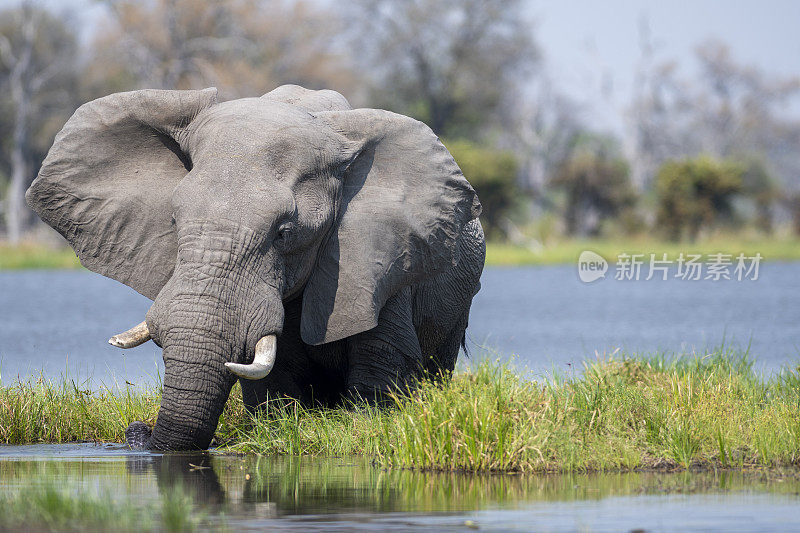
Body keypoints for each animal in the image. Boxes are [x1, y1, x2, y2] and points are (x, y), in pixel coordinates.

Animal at [25, 83, 484, 448]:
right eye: (173, 221)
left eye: (284, 233)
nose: (137, 430)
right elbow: (273, 391)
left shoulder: (382, 262)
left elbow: (382, 370)